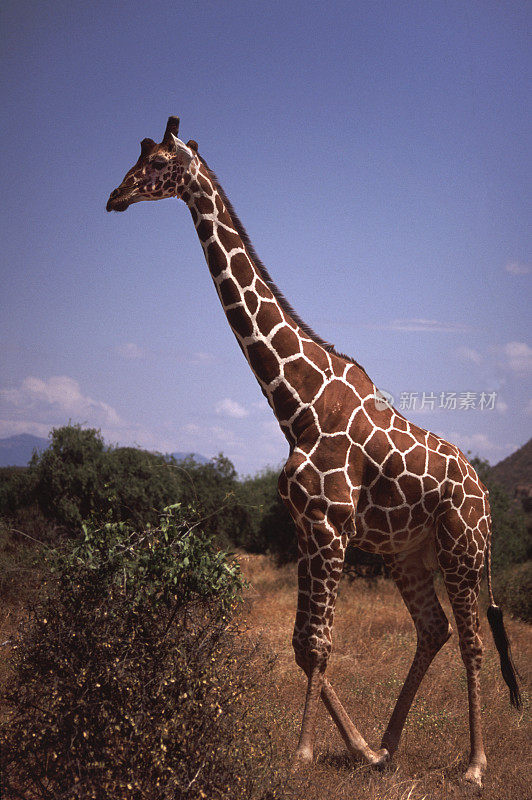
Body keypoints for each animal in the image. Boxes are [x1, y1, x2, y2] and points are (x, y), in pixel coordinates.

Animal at [107, 115, 520, 784]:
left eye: (157, 164)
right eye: (135, 159)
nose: (114, 197)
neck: (295, 405)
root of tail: (487, 498)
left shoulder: (330, 524)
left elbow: (321, 644)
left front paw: (303, 753)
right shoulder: (305, 525)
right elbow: (302, 644)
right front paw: (358, 748)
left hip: (462, 549)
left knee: (472, 640)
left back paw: (474, 764)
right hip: (407, 554)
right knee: (432, 630)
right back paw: (388, 746)